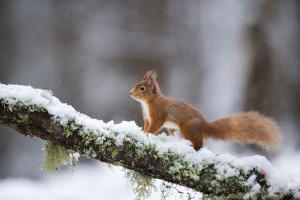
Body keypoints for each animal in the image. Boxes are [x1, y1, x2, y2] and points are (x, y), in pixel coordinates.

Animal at [129, 70, 282, 150]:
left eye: (142, 88)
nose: (130, 93)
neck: (147, 103)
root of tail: (204, 125)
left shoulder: (158, 114)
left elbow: (155, 126)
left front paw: (147, 134)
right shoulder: (147, 118)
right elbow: (146, 125)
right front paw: (142, 132)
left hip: (188, 128)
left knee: (199, 144)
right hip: (175, 129)